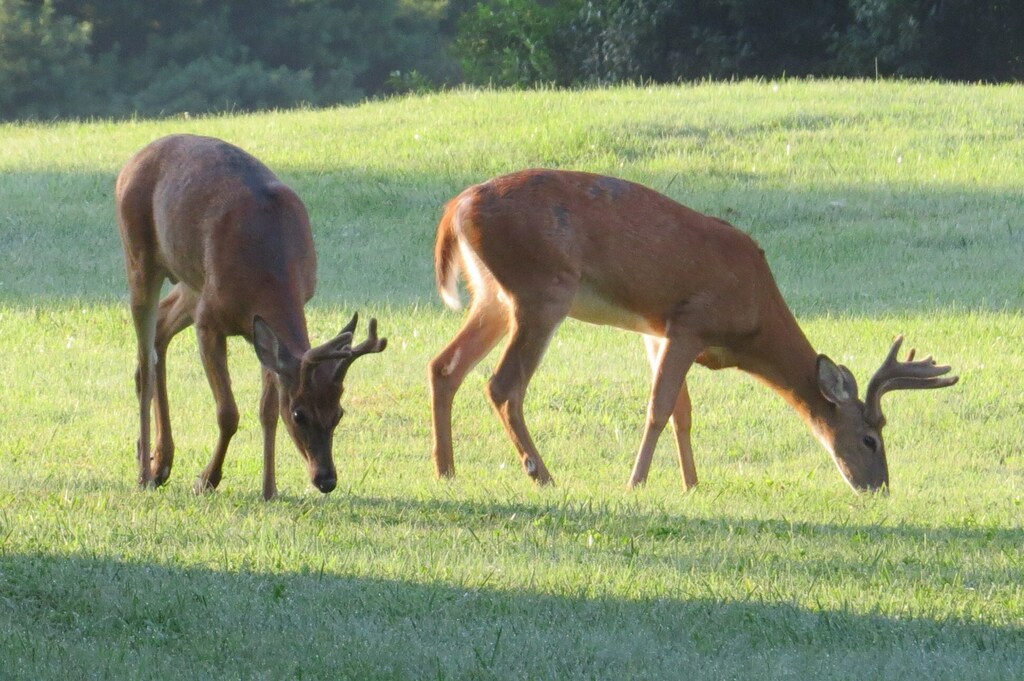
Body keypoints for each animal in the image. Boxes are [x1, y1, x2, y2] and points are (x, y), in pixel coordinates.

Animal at [116, 134, 386, 500]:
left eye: (339, 413)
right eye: (299, 414)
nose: (326, 480)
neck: (266, 275)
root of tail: (133, 160)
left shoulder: (262, 330)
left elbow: (267, 410)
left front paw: (269, 488)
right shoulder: (209, 321)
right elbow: (228, 412)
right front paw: (207, 480)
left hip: (192, 282)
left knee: (161, 328)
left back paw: (161, 463)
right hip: (140, 257)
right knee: (146, 363)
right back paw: (145, 473)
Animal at [429, 169, 958, 493]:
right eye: (871, 438)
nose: (879, 487)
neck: (754, 322)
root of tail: (457, 207)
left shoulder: (657, 328)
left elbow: (684, 411)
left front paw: (692, 484)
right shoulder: (690, 322)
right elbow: (659, 408)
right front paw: (636, 483)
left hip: (492, 295)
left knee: (444, 365)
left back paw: (446, 470)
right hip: (541, 289)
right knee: (503, 385)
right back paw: (542, 475)